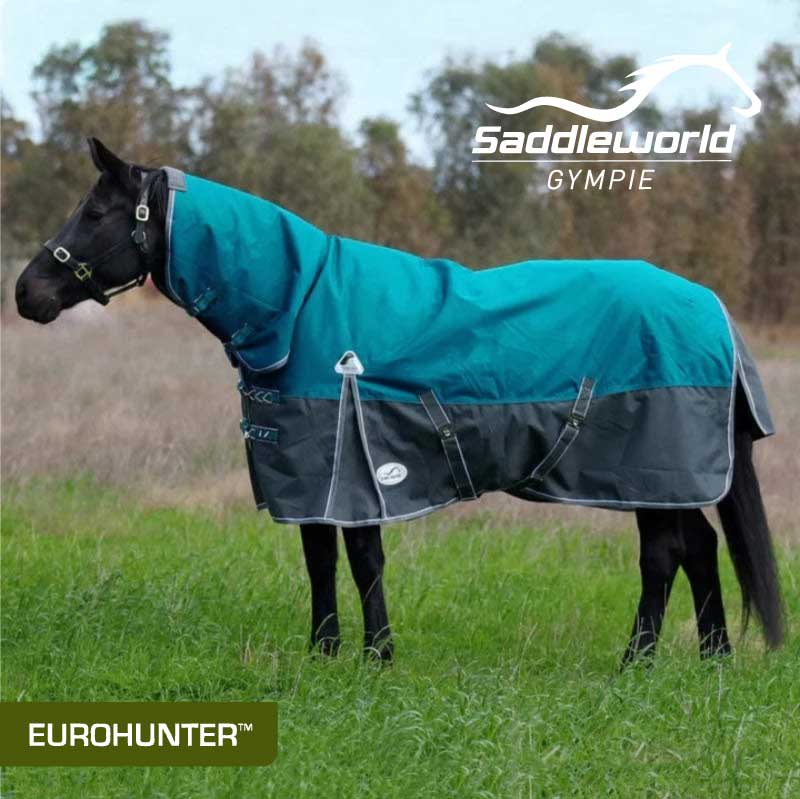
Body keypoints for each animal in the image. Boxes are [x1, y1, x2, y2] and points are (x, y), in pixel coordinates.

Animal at [15, 138, 784, 665]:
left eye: (95, 211)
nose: (28, 293)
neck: (299, 304)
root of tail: (714, 309)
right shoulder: (309, 470)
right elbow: (319, 560)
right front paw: (324, 652)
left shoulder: (356, 465)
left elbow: (363, 561)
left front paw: (378, 655)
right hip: (669, 477)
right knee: (700, 547)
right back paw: (711, 658)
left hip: (651, 470)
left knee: (664, 555)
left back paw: (636, 662)